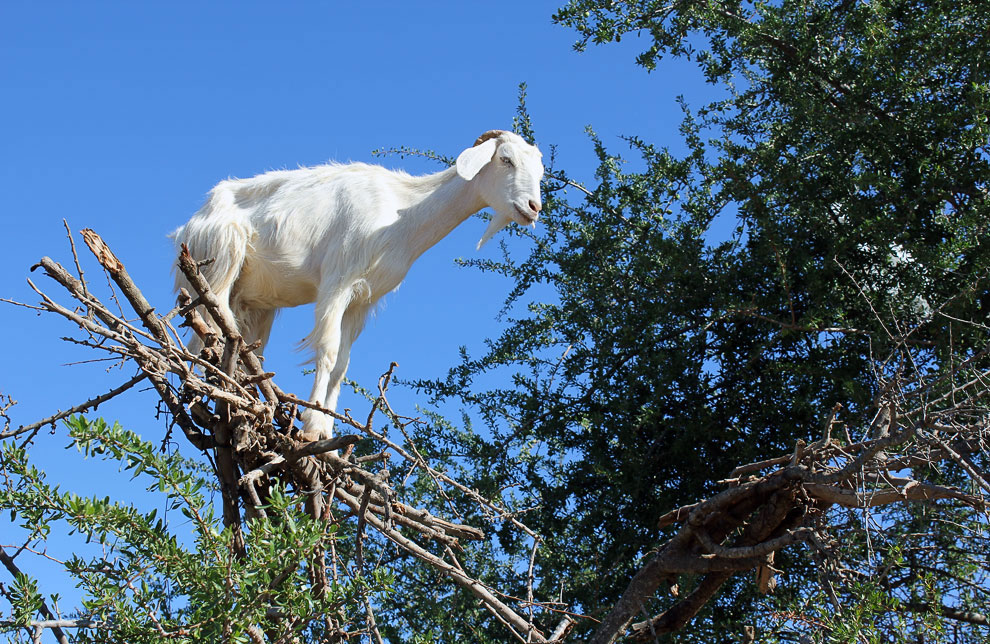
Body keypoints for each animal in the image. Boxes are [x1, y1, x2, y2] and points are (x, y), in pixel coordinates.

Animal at [170, 131, 544, 442]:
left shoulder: (363, 300)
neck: (401, 211)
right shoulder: (336, 284)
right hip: (219, 262)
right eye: (505, 159)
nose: (533, 208)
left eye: (539, 170)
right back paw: (205, 395)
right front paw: (311, 428)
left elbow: (343, 363)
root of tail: (191, 223)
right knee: (212, 327)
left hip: (257, 302)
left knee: (242, 347)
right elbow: (327, 351)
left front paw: (327, 433)